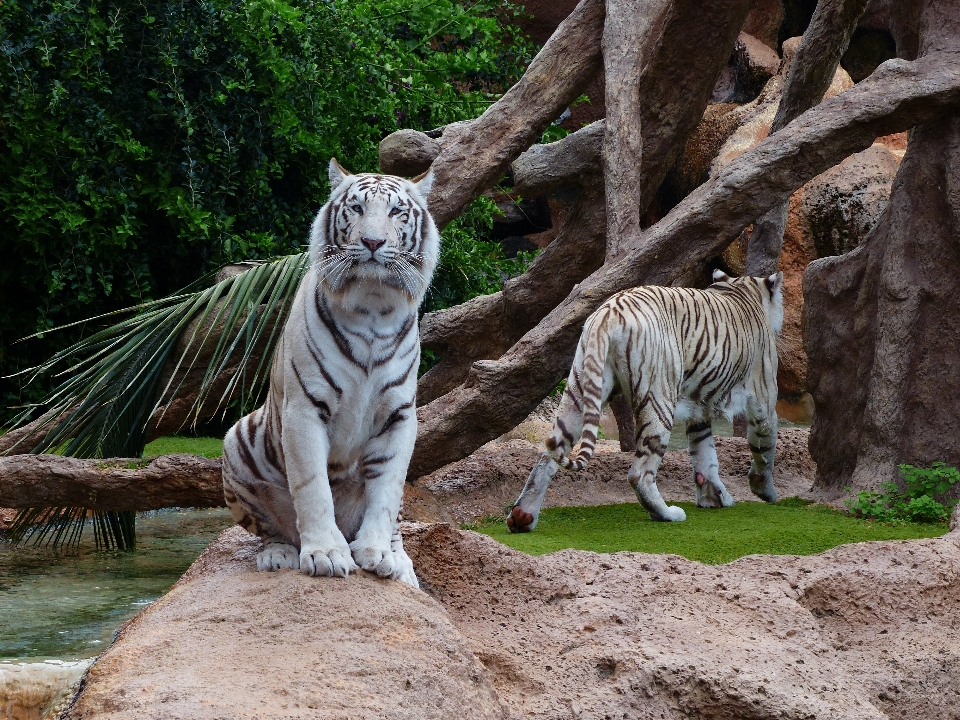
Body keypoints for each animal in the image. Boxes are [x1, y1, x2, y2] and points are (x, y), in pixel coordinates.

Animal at [223, 158, 436, 584]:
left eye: (396, 212)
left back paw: (401, 563)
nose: (372, 243)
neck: (373, 307)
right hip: (235, 441)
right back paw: (278, 555)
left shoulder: (400, 416)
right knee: (271, 528)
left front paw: (377, 553)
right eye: (355, 208)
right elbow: (312, 487)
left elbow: (387, 492)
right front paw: (326, 554)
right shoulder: (304, 408)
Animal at [506, 272, 784, 532]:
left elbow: (705, 454)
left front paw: (714, 497)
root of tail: (607, 312)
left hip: (579, 391)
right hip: (660, 399)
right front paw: (765, 491)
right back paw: (668, 514)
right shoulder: (764, 398)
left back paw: (522, 517)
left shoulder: (699, 409)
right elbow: (764, 448)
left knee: (548, 455)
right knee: (639, 473)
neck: (742, 289)